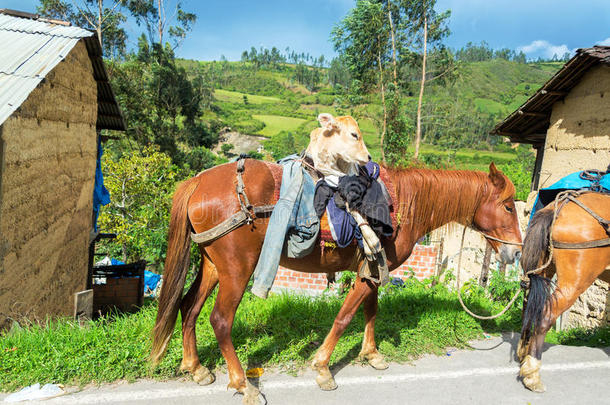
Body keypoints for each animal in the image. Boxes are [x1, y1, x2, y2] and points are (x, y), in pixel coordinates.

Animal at [147, 159, 516, 404]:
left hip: (212, 266)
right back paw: (242, 384)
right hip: (237, 270)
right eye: (509, 206)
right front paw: (323, 367)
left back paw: (195, 367)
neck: (403, 203)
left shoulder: (371, 270)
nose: (514, 252)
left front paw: (372, 354)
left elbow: (370, 312)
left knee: (188, 308)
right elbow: (344, 317)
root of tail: (199, 182)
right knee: (220, 320)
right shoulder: (370, 272)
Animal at [512, 192, 608, 392]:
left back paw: (523, 352)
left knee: (529, 304)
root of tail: (561, 205)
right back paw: (532, 373)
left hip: (542, 270)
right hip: (575, 282)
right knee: (546, 315)